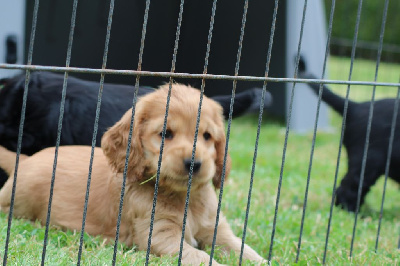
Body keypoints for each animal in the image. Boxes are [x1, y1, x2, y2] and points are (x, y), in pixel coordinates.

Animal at [0, 83, 266, 264]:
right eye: (166, 134)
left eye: (208, 136)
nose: (194, 163)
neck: (183, 198)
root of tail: (25, 159)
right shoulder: (160, 236)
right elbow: (200, 257)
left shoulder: (216, 229)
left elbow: (244, 250)